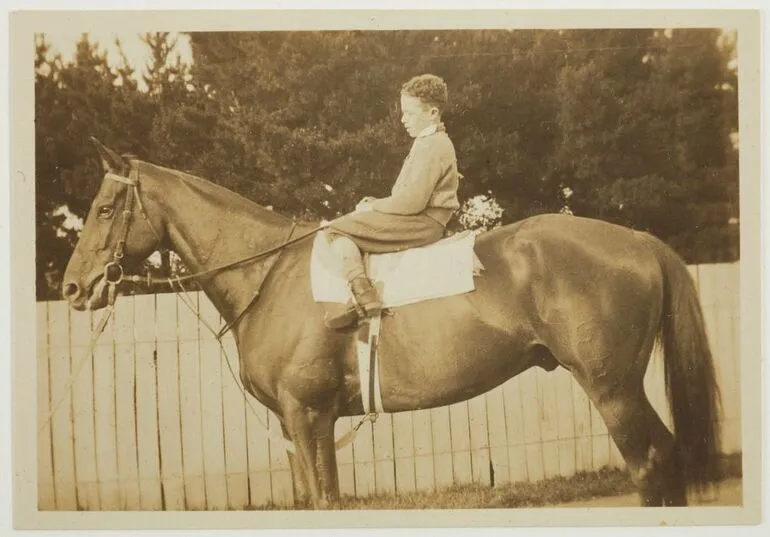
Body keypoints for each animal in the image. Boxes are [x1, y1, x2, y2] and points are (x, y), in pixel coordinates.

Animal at [61, 138, 720, 506]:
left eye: (104, 208)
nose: (72, 287)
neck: (270, 273)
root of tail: (636, 239)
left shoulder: (309, 416)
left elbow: (327, 503)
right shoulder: (298, 426)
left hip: (612, 389)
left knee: (649, 465)